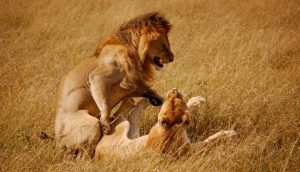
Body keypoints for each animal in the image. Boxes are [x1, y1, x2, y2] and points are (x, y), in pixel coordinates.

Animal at [55, 11, 175, 150]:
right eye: (164, 45)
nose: (172, 58)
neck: (133, 50)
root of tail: (57, 139)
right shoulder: (97, 77)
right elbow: (106, 106)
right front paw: (105, 124)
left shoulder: (131, 82)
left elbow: (144, 90)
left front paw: (157, 98)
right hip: (90, 124)